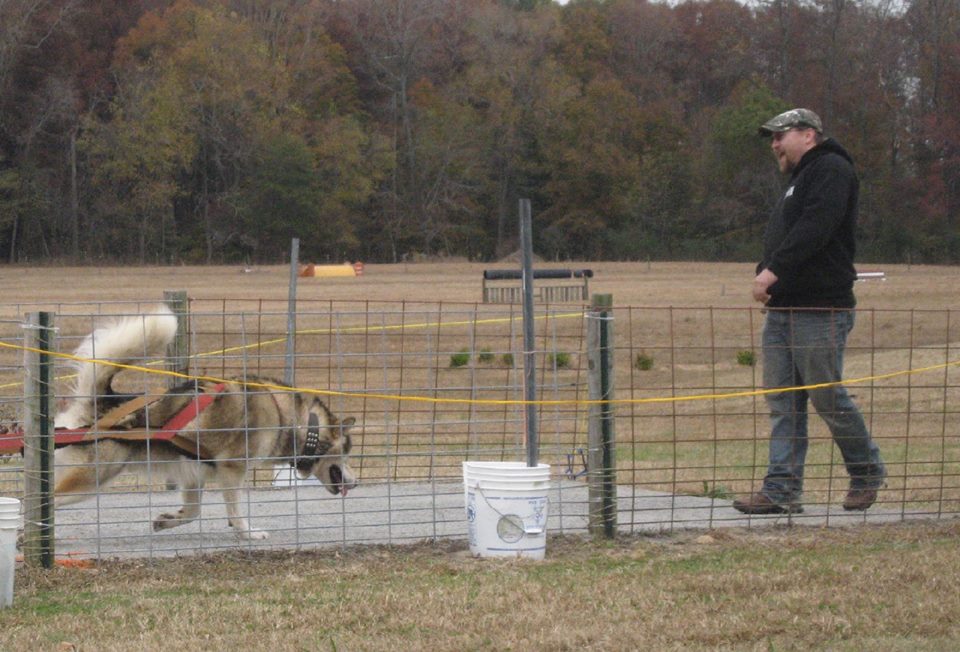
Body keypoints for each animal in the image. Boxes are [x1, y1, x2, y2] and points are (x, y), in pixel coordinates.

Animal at [50, 306, 356, 540]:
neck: (292, 419)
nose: (355, 483)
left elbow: (193, 512)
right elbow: (236, 511)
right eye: (347, 453)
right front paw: (248, 534)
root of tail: (105, 401)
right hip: (93, 478)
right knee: (46, 501)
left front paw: (168, 519)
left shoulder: (193, 473)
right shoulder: (232, 470)